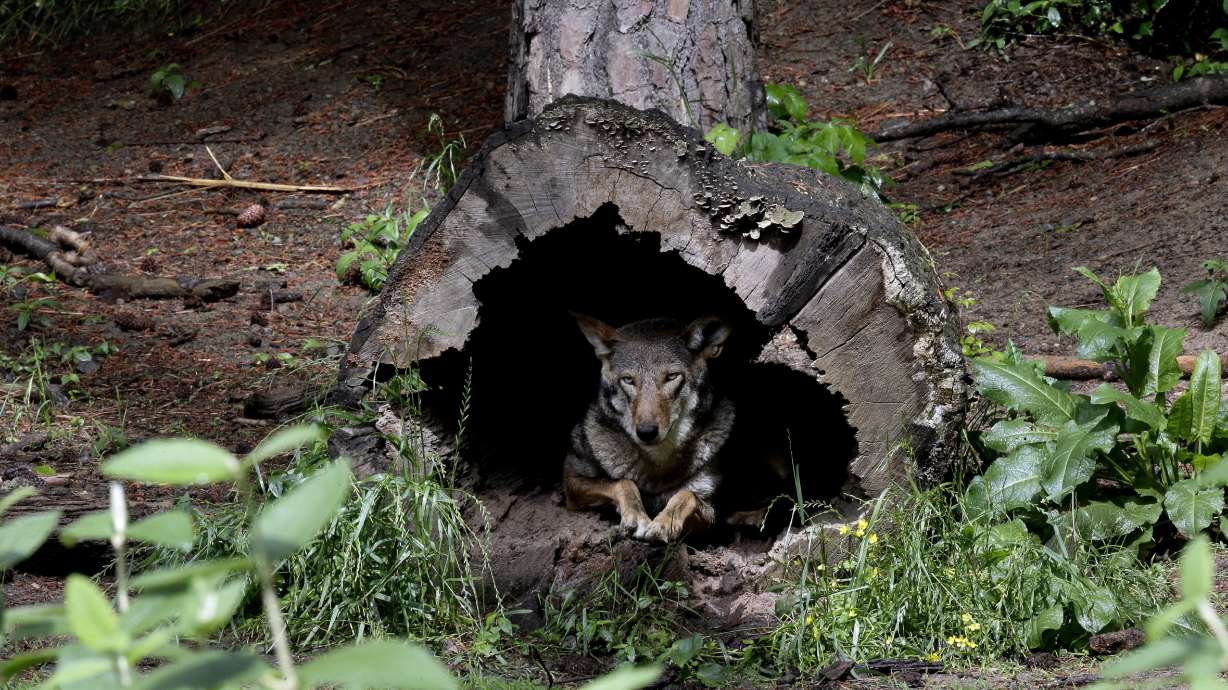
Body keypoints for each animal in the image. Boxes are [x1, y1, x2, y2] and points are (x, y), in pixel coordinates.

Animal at [563, 314, 735, 543]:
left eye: (671, 376)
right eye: (628, 380)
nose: (646, 432)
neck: (658, 462)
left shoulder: (714, 518)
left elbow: (686, 495)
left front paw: (664, 523)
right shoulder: (571, 481)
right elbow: (623, 482)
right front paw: (637, 517)